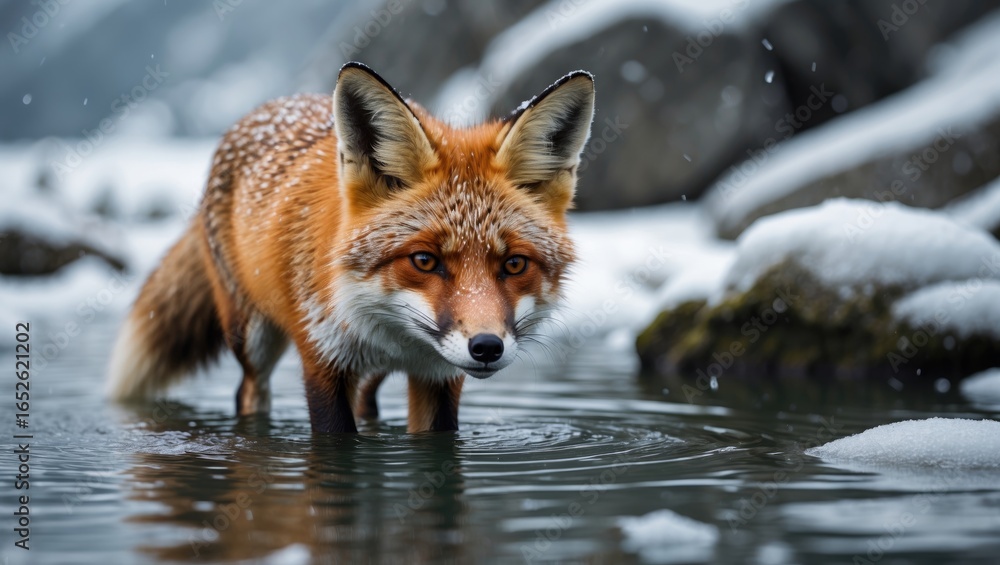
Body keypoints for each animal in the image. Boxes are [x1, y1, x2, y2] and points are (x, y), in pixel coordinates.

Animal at [106, 62, 595, 433]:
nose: (487, 346)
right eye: (425, 260)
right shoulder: (324, 363)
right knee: (248, 391)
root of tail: (271, 104)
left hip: (366, 373)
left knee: (367, 402)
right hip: (251, 337)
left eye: (514, 264)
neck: (396, 340)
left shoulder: (438, 377)